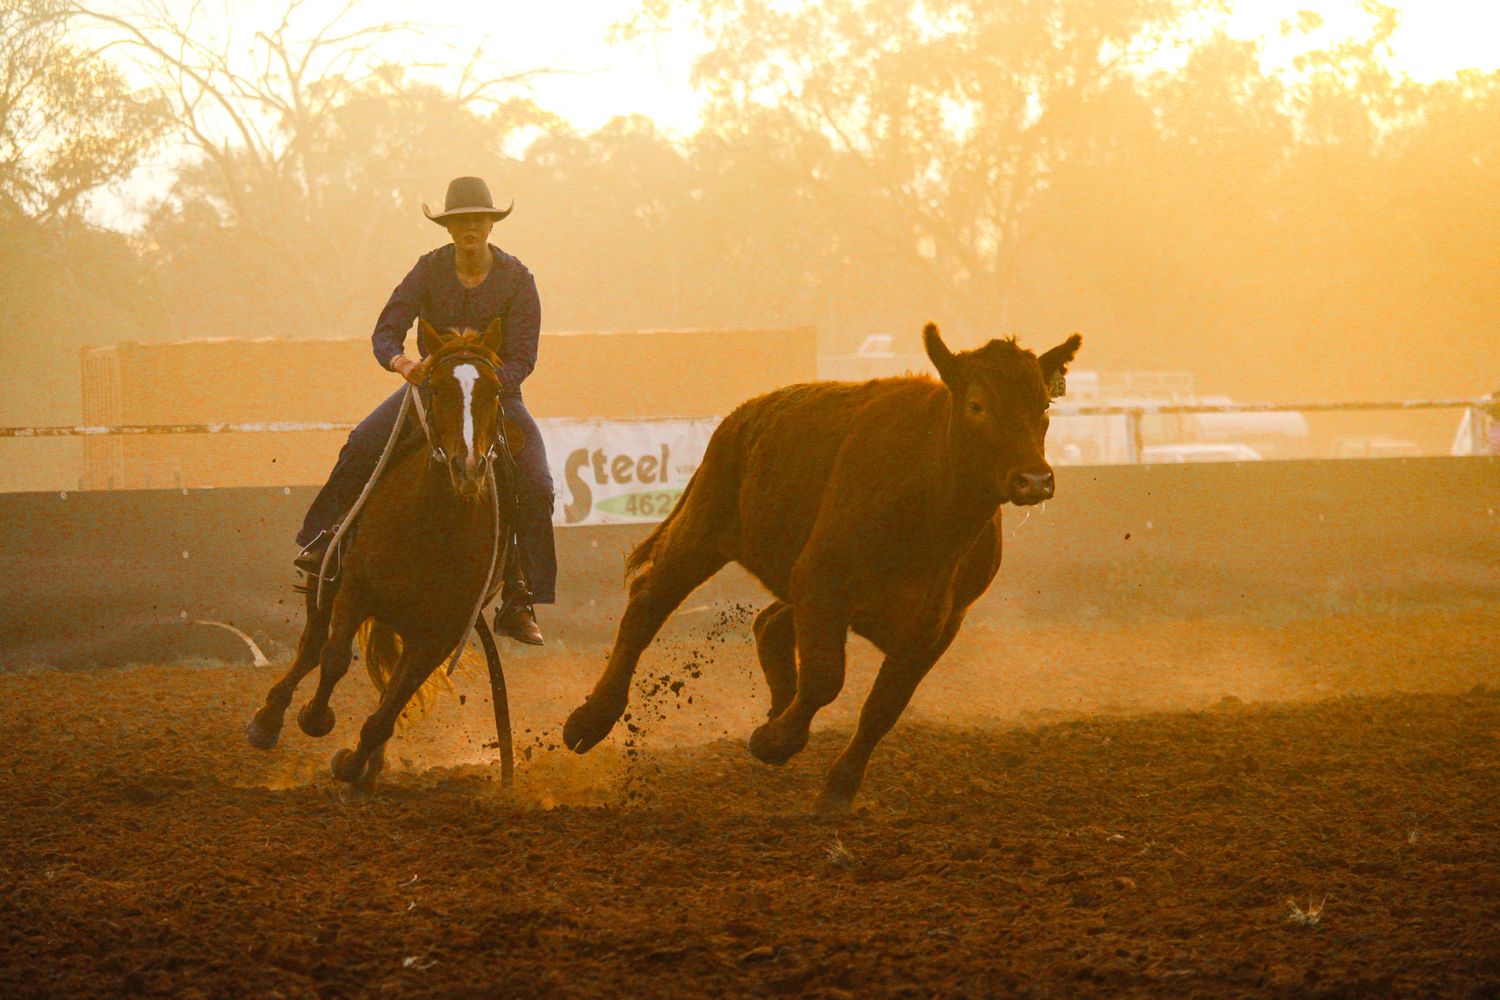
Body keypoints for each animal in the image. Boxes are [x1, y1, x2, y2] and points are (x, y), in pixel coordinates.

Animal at [246, 319, 518, 795]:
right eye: (434, 388)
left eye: (496, 391)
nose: (467, 467)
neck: (432, 527)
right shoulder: (355, 589)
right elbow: (335, 658)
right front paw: (315, 719)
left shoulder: (438, 635)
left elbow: (390, 707)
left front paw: (353, 766)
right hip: (325, 583)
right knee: (312, 646)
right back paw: (268, 720)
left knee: (389, 686)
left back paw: (368, 768)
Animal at [563, 322, 1081, 812]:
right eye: (977, 405)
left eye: (1044, 407)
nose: (1034, 480)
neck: (932, 510)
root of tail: (743, 415)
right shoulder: (821, 580)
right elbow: (825, 678)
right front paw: (773, 742)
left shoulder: (938, 624)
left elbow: (883, 708)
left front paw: (837, 790)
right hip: (704, 530)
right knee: (648, 604)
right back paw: (590, 720)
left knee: (769, 623)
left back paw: (776, 704)